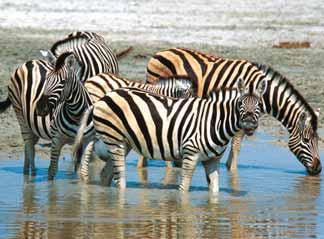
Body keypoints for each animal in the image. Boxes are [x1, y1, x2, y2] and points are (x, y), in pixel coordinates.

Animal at [0, 31, 120, 175]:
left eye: (62, 82)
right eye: (46, 80)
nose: (40, 108)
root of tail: (29, 62)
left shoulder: (84, 140)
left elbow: (80, 168)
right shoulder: (57, 139)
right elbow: (54, 169)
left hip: (32, 124)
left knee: (30, 146)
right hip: (20, 114)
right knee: (29, 146)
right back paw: (31, 175)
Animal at [74, 79, 268, 192]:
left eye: (259, 104)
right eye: (240, 103)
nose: (249, 124)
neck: (214, 120)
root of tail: (103, 98)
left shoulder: (212, 160)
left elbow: (214, 191)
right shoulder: (190, 153)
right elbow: (184, 189)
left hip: (123, 142)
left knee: (105, 175)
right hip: (114, 141)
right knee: (119, 180)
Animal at [146, 48, 322, 176]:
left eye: (318, 140)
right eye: (306, 140)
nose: (318, 169)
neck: (263, 93)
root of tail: (160, 52)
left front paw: (229, 166)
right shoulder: (241, 113)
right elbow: (237, 144)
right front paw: (233, 171)